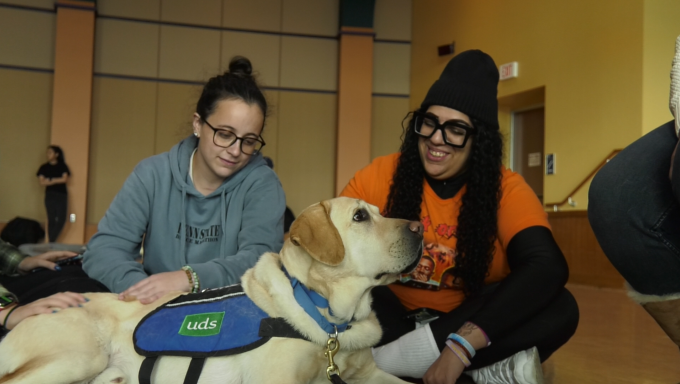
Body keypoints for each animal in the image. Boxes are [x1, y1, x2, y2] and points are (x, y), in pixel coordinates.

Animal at [0, 198, 422, 384]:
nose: (419, 227)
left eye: (380, 211)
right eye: (360, 217)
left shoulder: (368, 374)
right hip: (76, 357)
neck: (332, 316)